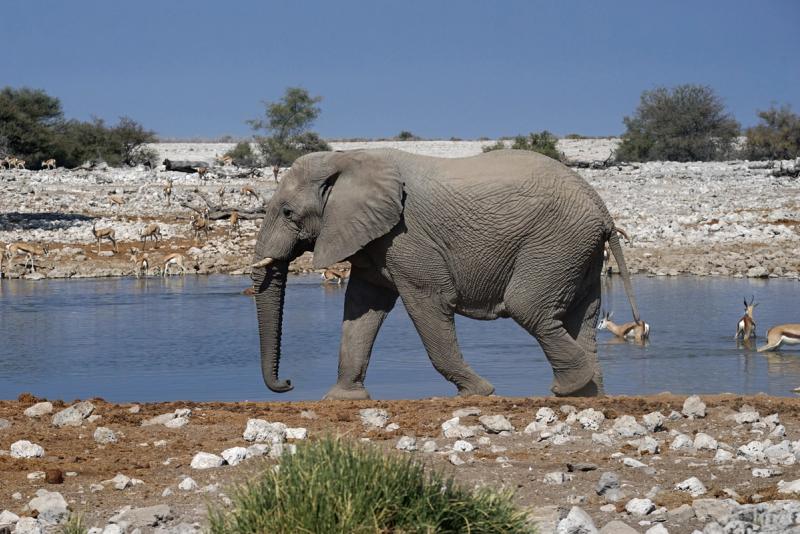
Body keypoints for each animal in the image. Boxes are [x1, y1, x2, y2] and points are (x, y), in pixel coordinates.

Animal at [251, 148, 641, 399]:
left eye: (287, 212)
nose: (287, 383)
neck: (344, 159)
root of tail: (603, 211)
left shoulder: (406, 237)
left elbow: (428, 301)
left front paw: (478, 392)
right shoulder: (374, 240)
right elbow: (363, 308)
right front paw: (343, 398)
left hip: (555, 242)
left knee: (527, 307)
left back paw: (567, 388)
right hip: (578, 251)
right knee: (583, 317)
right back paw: (588, 394)